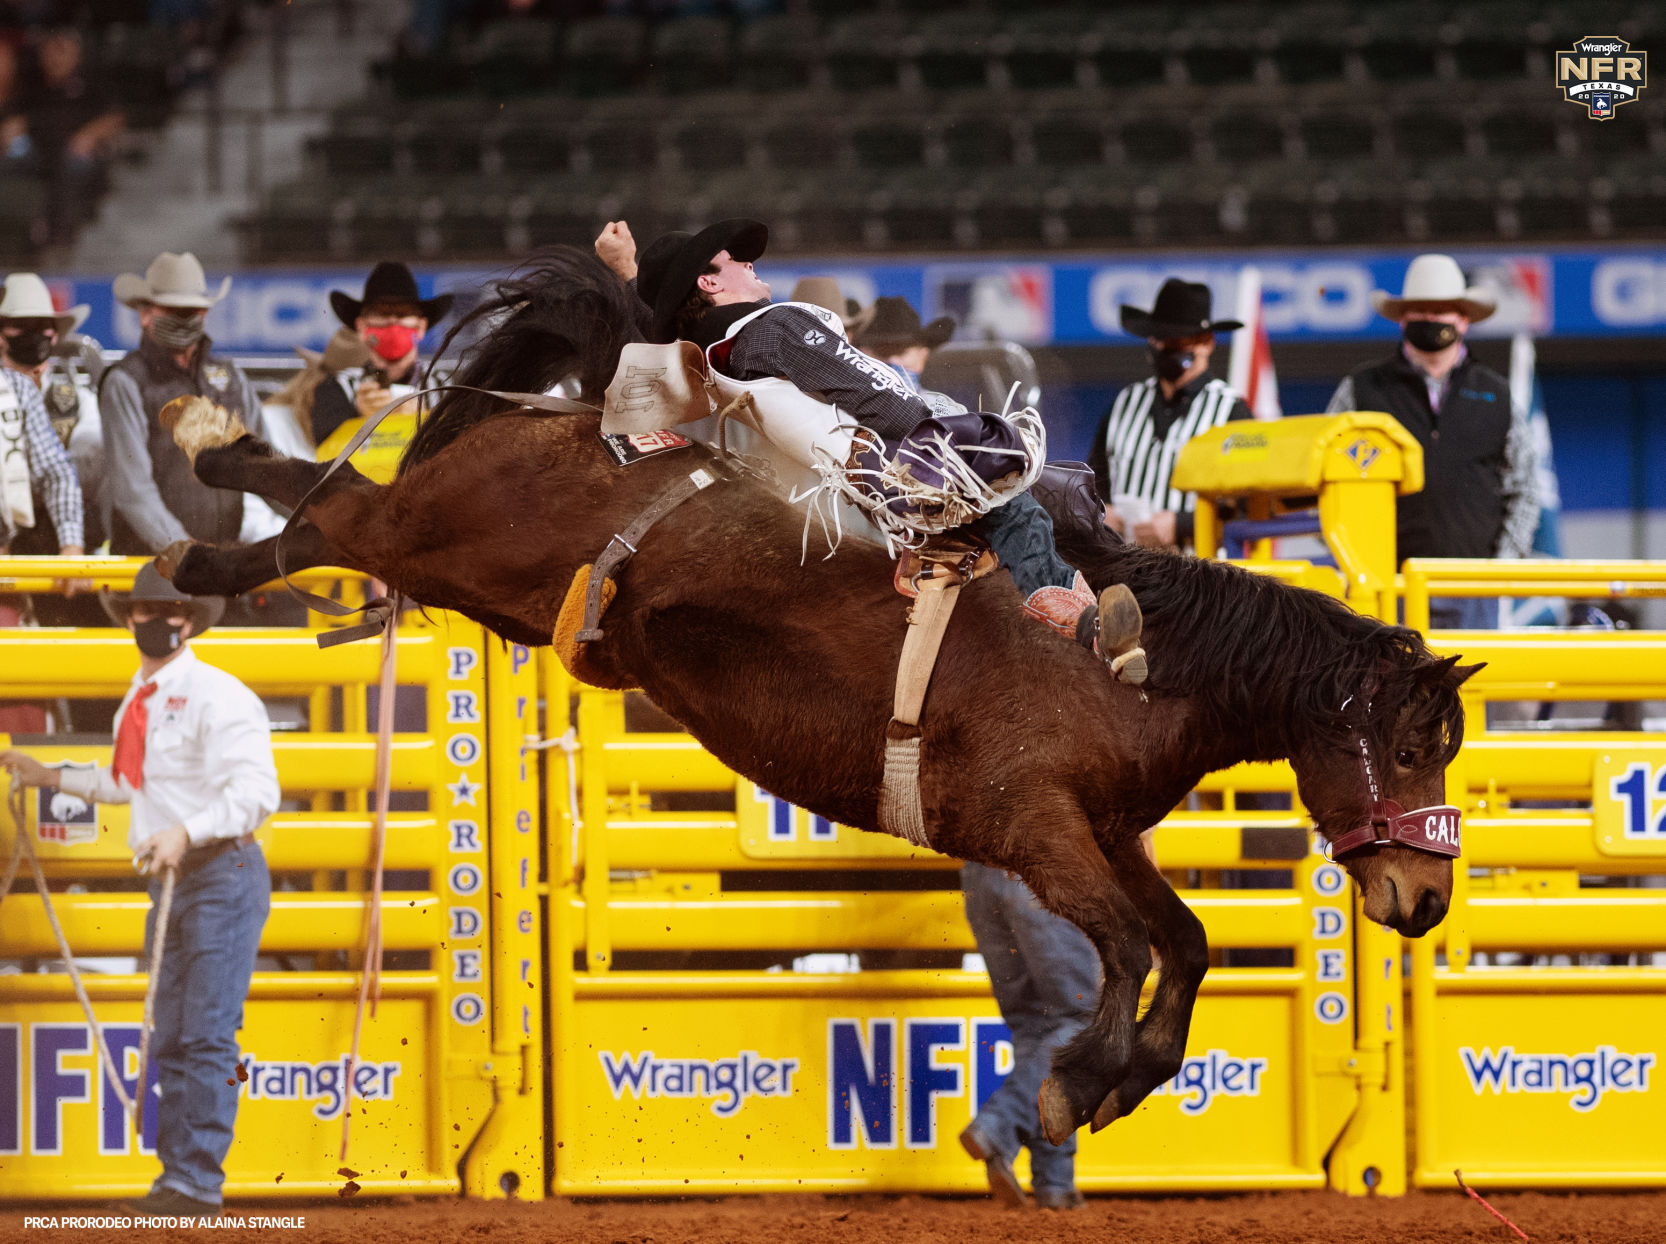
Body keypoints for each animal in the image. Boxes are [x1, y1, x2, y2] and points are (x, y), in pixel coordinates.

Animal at [156, 249, 1479, 1145]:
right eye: (1415, 741)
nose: (1420, 900)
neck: (1129, 661)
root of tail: (582, 421)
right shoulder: (1036, 828)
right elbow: (1118, 941)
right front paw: (1071, 1084)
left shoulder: (1104, 832)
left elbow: (1185, 940)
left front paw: (1122, 1083)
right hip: (440, 535)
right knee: (335, 507)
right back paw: (201, 498)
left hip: (479, 577)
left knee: (321, 507)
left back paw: (201, 503)